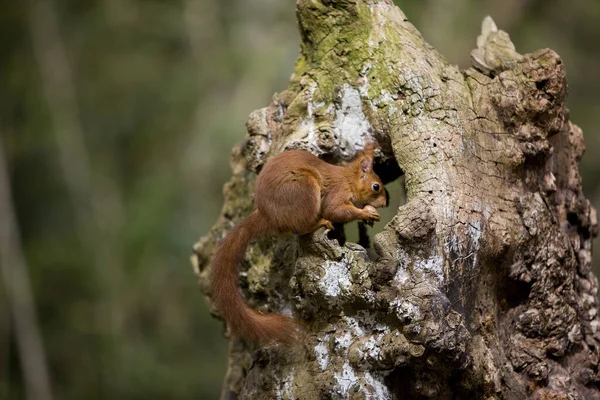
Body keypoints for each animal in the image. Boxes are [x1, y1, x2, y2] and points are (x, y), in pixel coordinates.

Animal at [211, 145, 386, 346]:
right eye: (376, 187)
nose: (384, 203)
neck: (348, 178)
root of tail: (267, 214)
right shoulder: (337, 192)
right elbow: (335, 210)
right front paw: (365, 214)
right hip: (303, 189)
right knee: (302, 226)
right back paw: (319, 223)